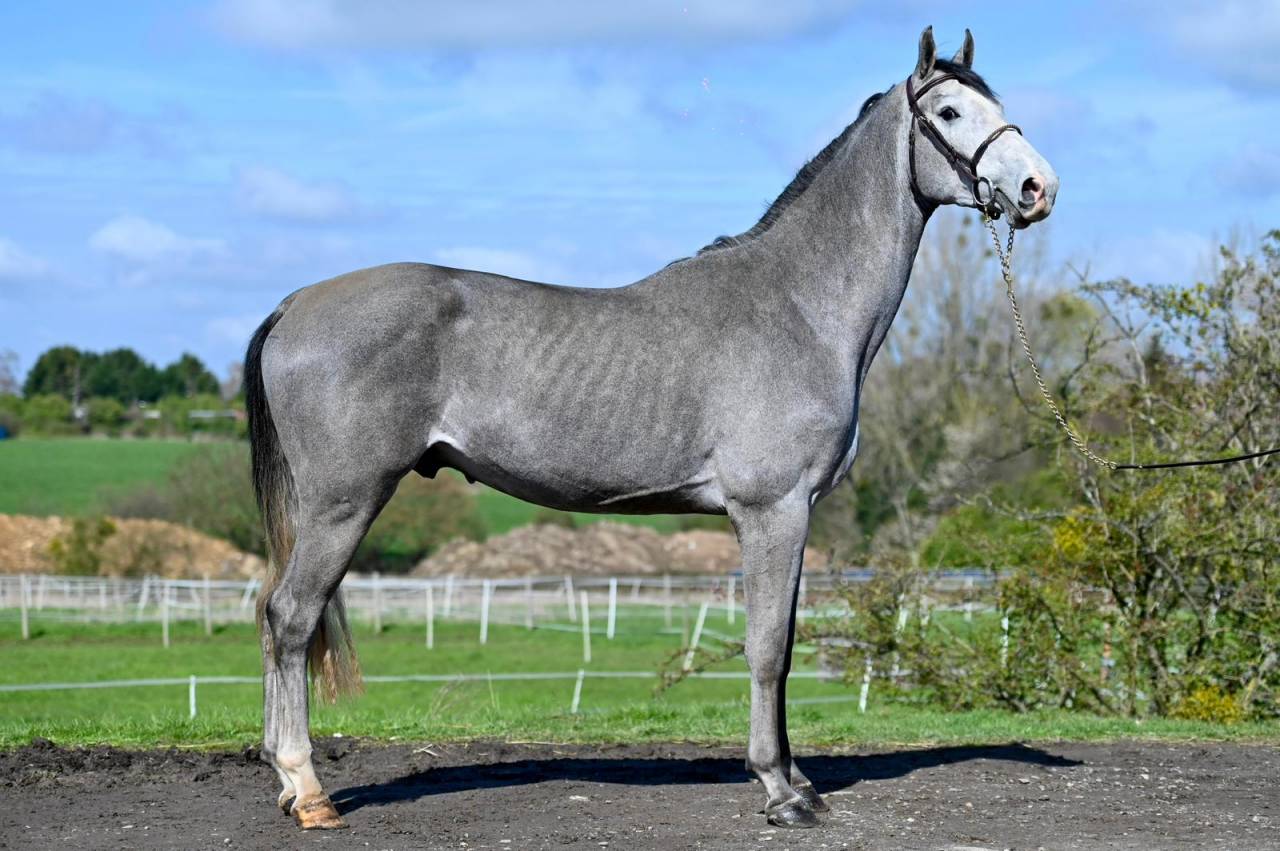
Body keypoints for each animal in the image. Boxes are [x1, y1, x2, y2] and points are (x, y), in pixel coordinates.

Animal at [245, 26, 1057, 830]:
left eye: (996, 104)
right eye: (949, 112)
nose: (1037, 188)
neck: (800, 305)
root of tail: (295, 303)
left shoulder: (794, 516)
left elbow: (786, 645)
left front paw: (800, 780)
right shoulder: (772, 511)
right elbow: (768, 650)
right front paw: (779, 790)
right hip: (344, 502)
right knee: (290, 617)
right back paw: (307, 788)